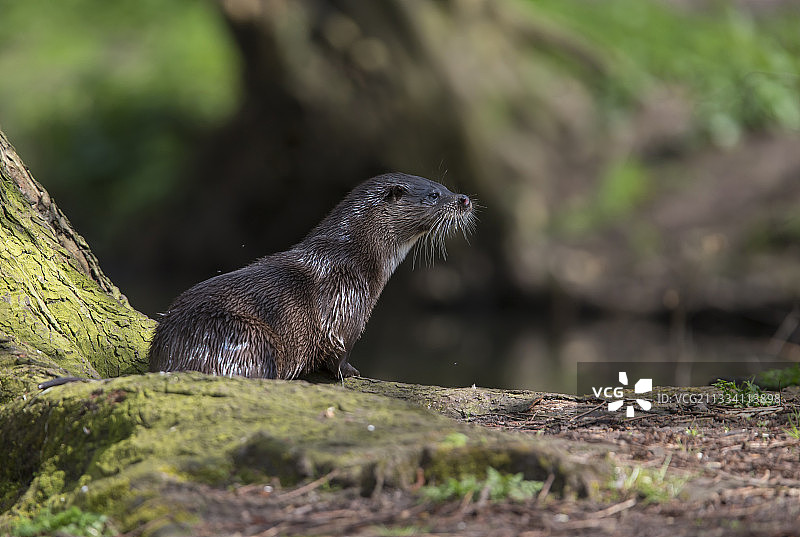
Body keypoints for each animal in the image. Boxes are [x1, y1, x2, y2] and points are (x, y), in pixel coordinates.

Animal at [148, 174, 476, 378]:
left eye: (445, 187)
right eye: (434, 195)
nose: (464, 199)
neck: (353, 258)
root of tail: (180, 352)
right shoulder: (345, 305)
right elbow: (338, 351)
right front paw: (350, 372)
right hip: (251, 338)